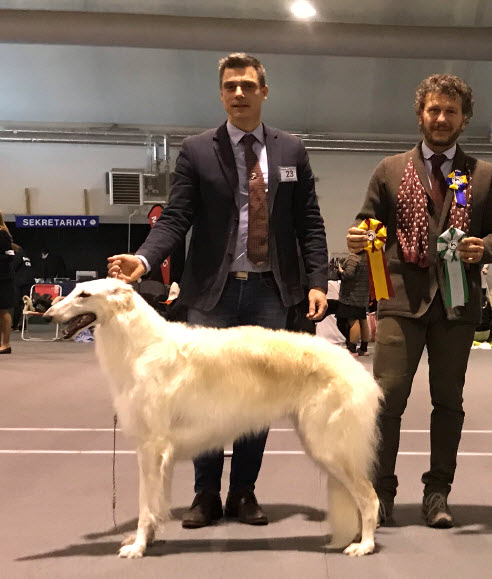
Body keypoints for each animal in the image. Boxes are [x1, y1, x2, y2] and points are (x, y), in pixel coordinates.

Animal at [46, 278, 382, 560]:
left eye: (84, 295)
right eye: (74, 290)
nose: (47, 313)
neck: (142, 346)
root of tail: (355, 367)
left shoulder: (151, 447)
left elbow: (145, 506)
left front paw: (138, 547)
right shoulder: (159, 454)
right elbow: (155, 505)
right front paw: (148, 540)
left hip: (329, 447)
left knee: (369, 498)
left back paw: (364, 545)